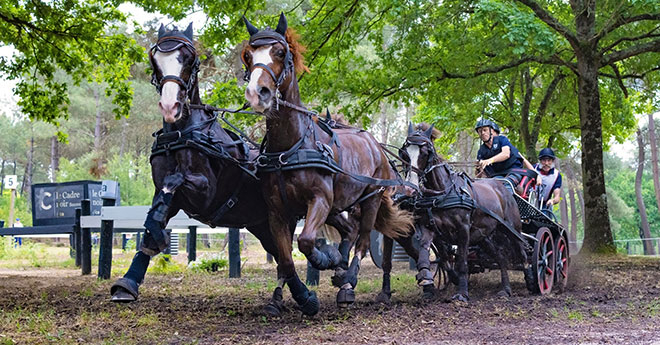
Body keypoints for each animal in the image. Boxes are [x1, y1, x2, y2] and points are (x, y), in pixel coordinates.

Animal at [242, 13, 412, 314]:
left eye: (281, 52)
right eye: (248, 56)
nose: (256, 92)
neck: (291, 147)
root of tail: (375, 144)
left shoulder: (319, 200)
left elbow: (307, 241)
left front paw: (327, 261)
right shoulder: (277, 212)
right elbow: (285, 259)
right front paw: (302, 297)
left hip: (370, 199)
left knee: (363, 240)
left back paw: (348, 280)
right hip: (341, 205)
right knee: (350, 232)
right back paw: (341, 271)